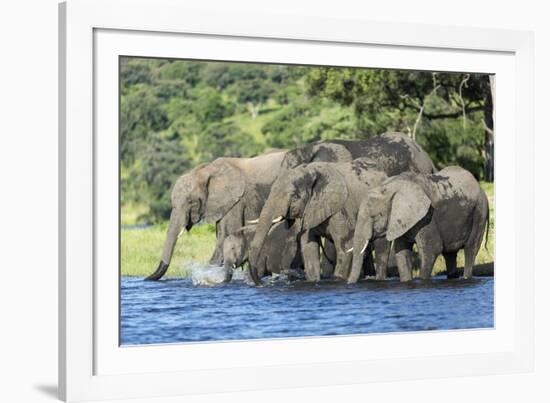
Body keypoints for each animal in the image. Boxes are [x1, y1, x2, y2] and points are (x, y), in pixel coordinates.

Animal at [350, 165, 492, 284]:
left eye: (375, 217)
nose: (349, 284)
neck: (391, 186)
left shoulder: (427, 216)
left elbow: (431, 249)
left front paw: (423, 281)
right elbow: (402, 252)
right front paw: (407, 281)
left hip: (479, 211)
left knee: (470, 249)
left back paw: (467, 278)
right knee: (450, 254)